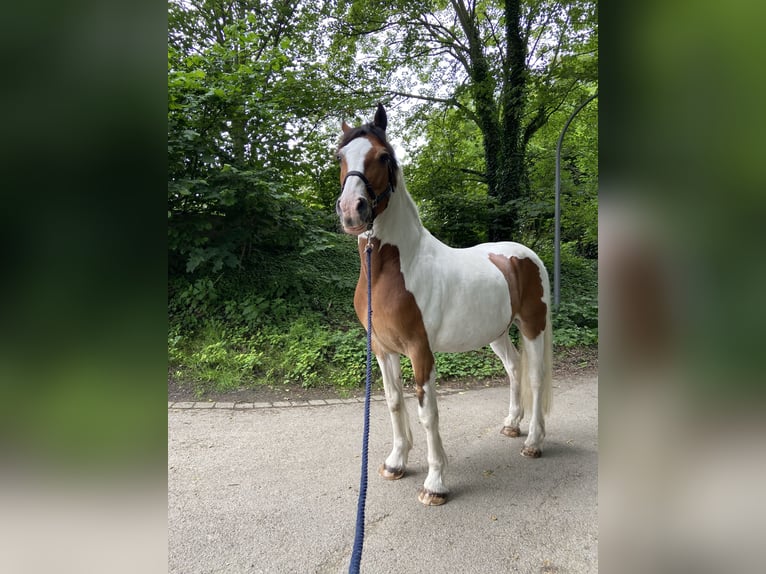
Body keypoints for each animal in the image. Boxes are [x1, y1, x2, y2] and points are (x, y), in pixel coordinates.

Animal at [334, 104, 553, 506]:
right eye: (341, 156)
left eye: (383, 156)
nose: (351, 210)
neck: (395, 269)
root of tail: (525, 254)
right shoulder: (383, 349)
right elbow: (394, 401)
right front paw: (395, 463)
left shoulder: (420, 351)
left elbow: (428, 413)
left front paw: (435, 483)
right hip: (497, 332)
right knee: (514, 369)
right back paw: (511, 425)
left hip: (533, 325)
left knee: (534, 375)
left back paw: (532, 441)